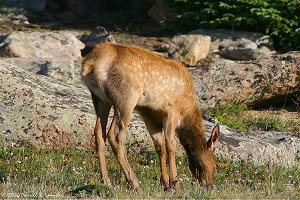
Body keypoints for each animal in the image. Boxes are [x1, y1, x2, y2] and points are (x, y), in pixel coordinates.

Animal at [81, 43, 219, 191]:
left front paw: (164, 183)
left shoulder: (148, 113)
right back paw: (134, 183)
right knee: (115, 135)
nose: (209, 185)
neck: (187, 109)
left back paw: (106, 180)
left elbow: (159, 145)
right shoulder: (172, 111)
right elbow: (171, 145)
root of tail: (91, 64)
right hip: (126, 97)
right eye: (214, 164)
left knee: (99, 133)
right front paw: (175, 184)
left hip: (101, 100)